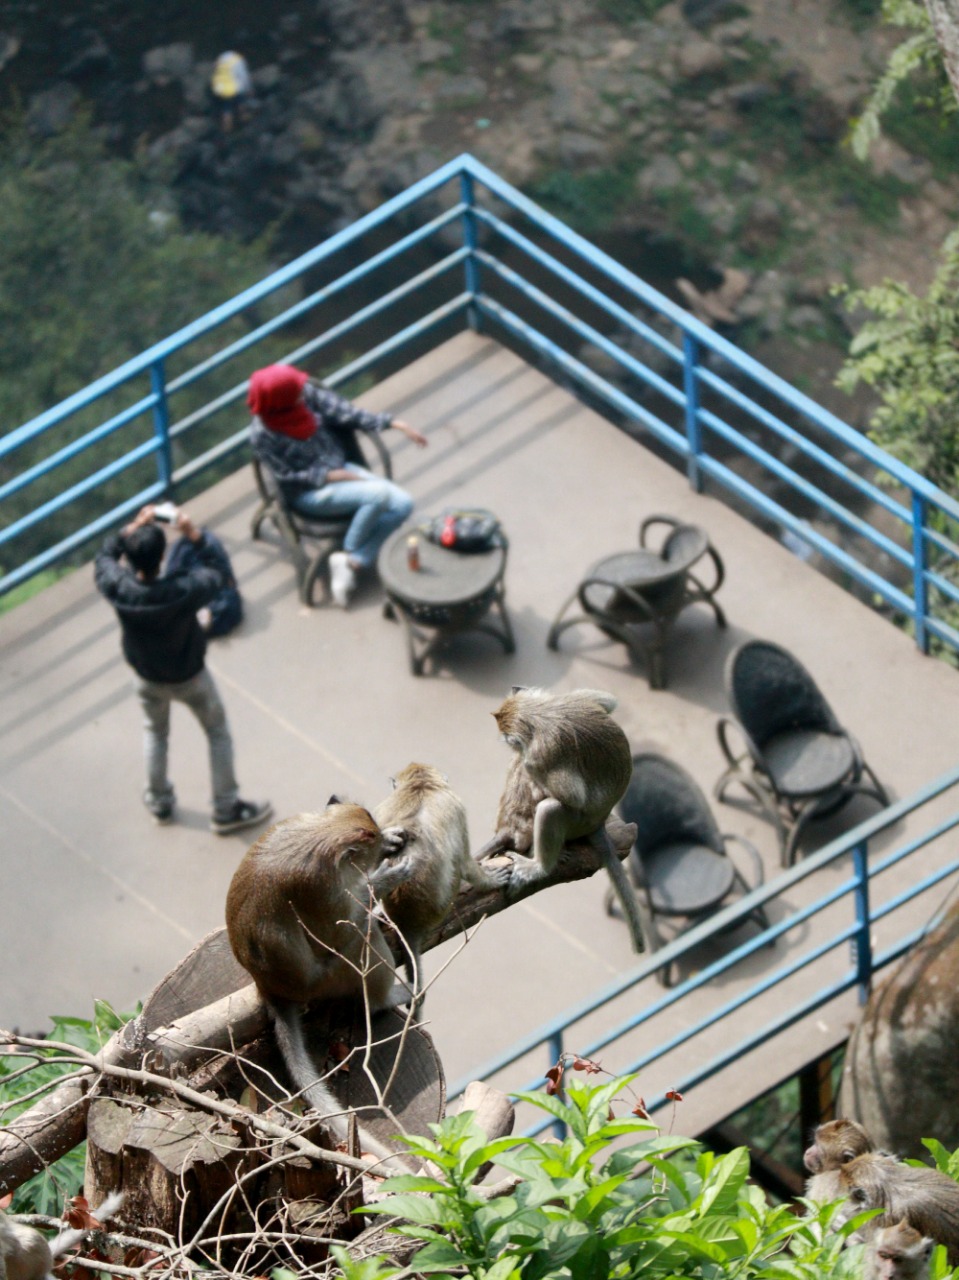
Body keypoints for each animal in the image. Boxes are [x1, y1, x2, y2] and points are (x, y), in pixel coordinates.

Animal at [230, 798, 417, 1172]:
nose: (382, 847)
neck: (322, 833)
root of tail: (269, 988)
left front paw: (391, 838)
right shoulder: (323, 890)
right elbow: (340, 933)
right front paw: (385, 877)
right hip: (328, 980)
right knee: (361, 937)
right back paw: (382, 998)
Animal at [371, 757, 509, 1008]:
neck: (420, 786)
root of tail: (407, 921)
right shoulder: (456, 806)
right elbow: (464, 862)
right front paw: (490, 881)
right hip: (442, 907)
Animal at [476, 691, 642, 952]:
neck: (538, 713)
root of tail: (598, 823)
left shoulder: (538, 753)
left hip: (579, 823)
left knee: (550, 807)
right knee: (551, 808)